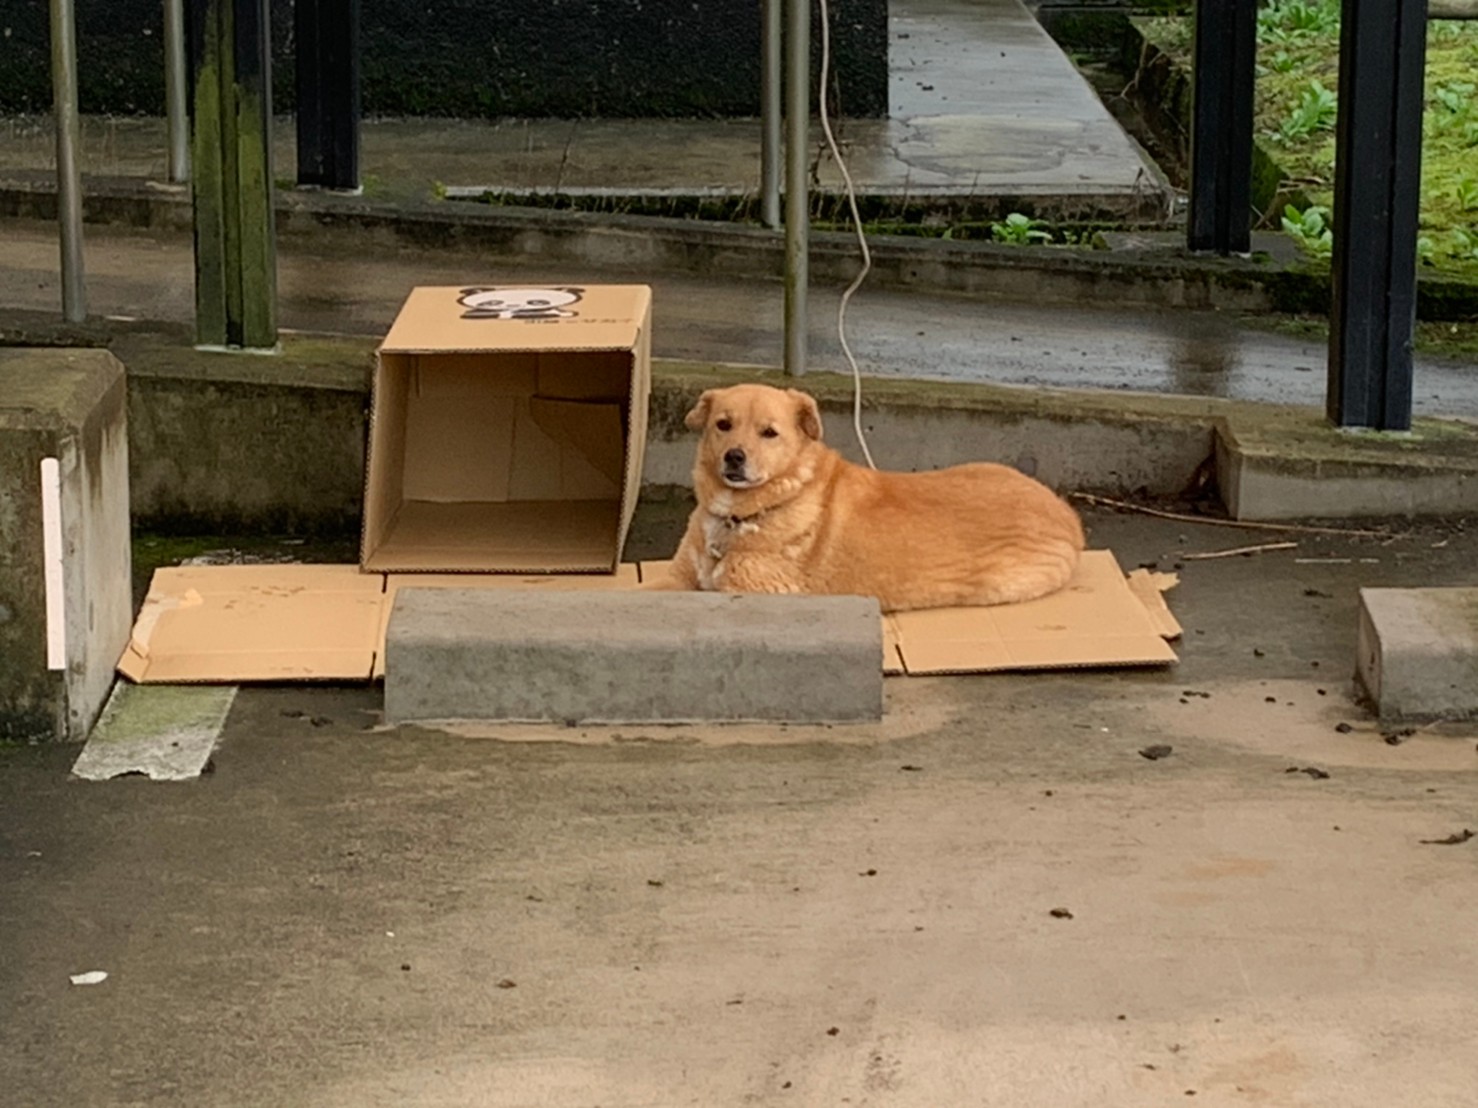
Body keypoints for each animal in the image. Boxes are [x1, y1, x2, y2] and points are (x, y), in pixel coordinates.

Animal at [647, 384, 1087, 611]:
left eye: (769, 432)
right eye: (723, 424)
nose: (734, 457)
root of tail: (1066, 513)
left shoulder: (753, 591)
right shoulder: (678, 577)